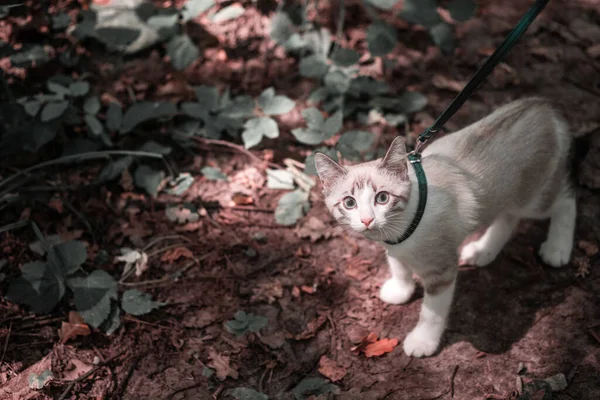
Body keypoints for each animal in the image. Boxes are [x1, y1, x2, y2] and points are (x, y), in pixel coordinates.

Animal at [314, 98, 576, 358]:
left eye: (382, 198)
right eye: (349, 203)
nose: (367, 220)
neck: (400, 230)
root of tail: (540, 104)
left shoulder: (442, 270)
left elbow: (431, 312)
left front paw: (423, 341)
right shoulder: (393, 247)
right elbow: (399, 266)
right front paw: (401, 290)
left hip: (533, 198)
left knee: (566, 200)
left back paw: (557, 248)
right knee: (508, 217)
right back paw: (483, 251)